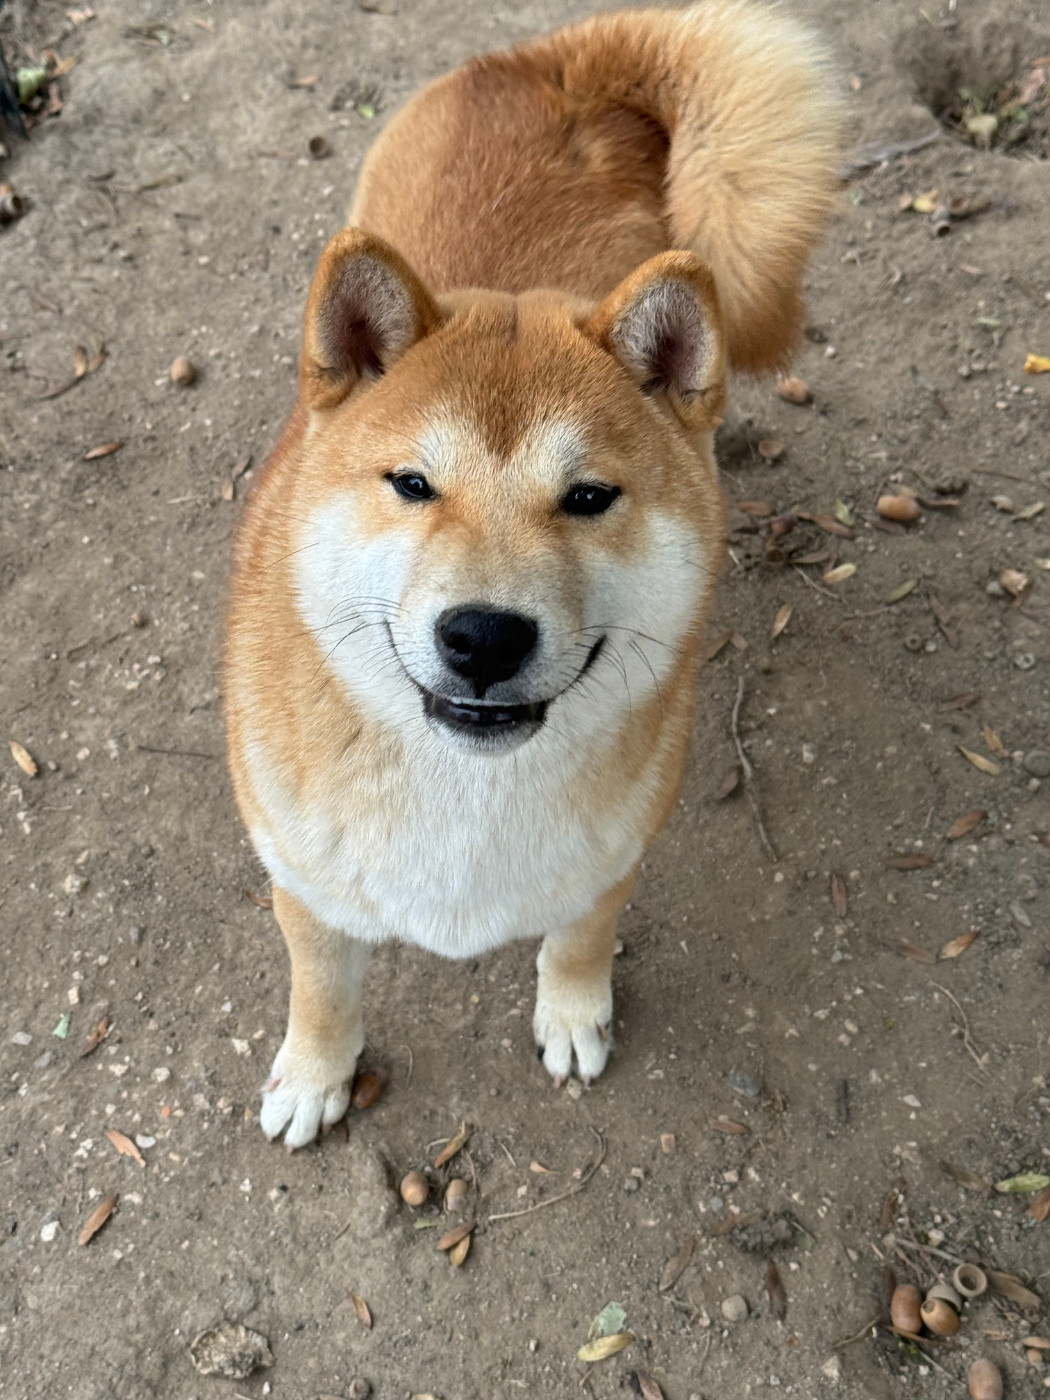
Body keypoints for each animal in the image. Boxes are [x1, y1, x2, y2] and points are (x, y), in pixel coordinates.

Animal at [225, 0, 839, 1148]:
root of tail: (550, 64)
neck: (467, 793)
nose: (483, 635)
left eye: (589, 497)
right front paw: (318, 1074)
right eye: (412, 484)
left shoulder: (610, 861)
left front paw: (573, 1014)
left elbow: (577, 942)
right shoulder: (307, 884)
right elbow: (323, 988)